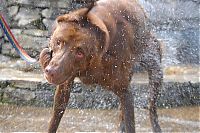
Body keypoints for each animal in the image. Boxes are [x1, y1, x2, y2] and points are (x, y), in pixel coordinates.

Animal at [39, 0, 162, 132]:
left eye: (80, 52)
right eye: (59, 42)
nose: (51, 71)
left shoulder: (124, 90)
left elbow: (130, 122)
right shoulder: (65, 82)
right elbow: (56, 116)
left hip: (153, 64)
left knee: (151, 105)